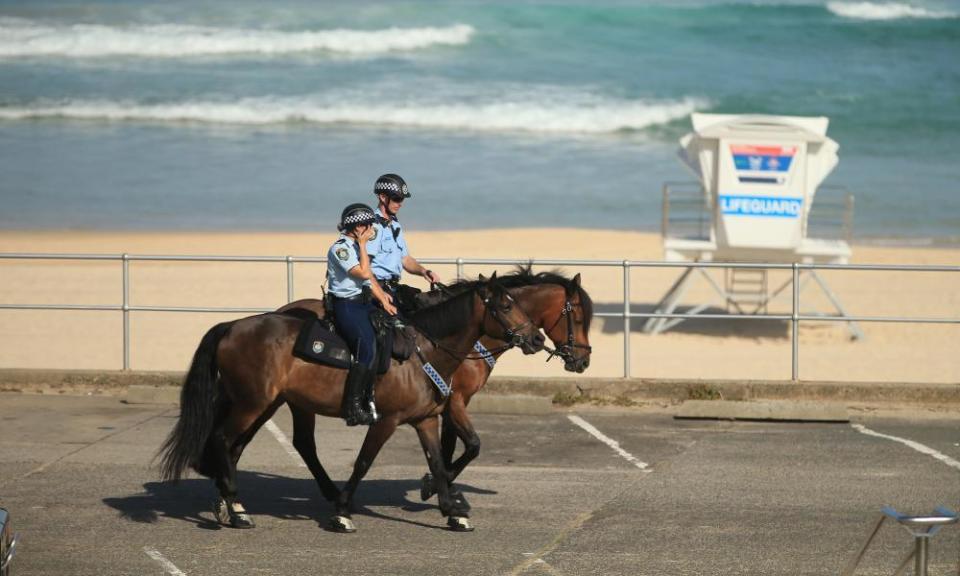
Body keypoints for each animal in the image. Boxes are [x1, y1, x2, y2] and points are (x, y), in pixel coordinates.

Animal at [157, 272, 540, 532]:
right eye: (506, 305)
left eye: (519, 303)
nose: (536, 338)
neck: (422, 352)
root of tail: (232, 325)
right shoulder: (387, 420)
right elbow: (364, 462)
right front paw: (342, 512)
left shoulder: (427, 419)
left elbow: (438, 462)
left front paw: (451, 511)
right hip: (252, 403)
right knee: (224, 440)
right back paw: (237, 509)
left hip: (266, 403)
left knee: (244, 445)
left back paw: (230, 503)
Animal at [278, 268, 592, 510]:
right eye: (577, 318)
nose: (583, 360)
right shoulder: (455, 401)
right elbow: (471, 445)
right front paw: (435, 486)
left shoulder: (444, 403)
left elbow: (449, 447)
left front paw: (444, 487)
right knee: (305, 443)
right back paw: (334, 493)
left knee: (303, 443)